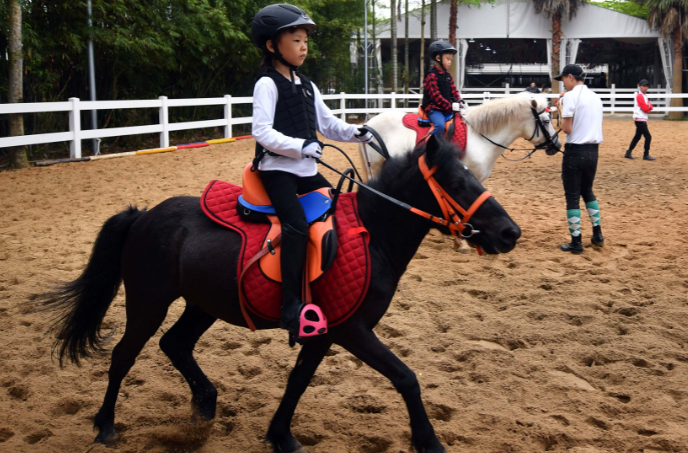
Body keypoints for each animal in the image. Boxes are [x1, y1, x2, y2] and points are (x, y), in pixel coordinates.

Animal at [40, 137, 520, 452]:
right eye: (456, 184)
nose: (509, 232)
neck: (372, 234)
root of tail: (142, 216)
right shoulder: (352, 329)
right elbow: (406, 377)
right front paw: (429, 441)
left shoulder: (326, 331)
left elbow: (299, 380)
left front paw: (281, 435)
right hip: (148, 301)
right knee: (124, 355)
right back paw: (105, 426)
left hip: (203, 304)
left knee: (174, 344)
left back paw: (205, 405)